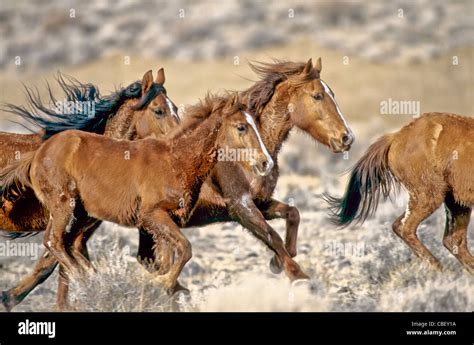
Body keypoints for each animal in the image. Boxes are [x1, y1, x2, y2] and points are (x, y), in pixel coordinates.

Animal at [0, 67, 181, 310]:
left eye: (176, 108)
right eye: (158, 110)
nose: (180, 140)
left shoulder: (80, 230)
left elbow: (60, 268)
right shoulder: (71, 225)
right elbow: (53, 263)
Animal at [0, 93, 272, 296]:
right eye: (241, 127)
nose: (265, 162)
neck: (176, 161)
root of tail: (37, 154)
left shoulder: (167, 221)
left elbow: (168, 257)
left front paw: (164, 284)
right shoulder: (152, 215)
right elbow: (185, 248)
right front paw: (162, 283)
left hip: (81, 214)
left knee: (67, 245)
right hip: (63, 205)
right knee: (53, 241)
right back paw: (89, 281)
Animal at [326, 112, 474, 272]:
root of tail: (396, 137)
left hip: (455, 202)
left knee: (453, 241)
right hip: (430, 195)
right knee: (406, 227)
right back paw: (438, 268)